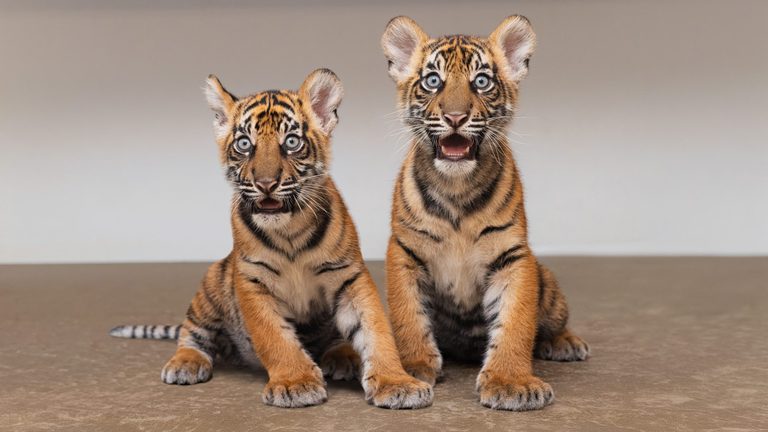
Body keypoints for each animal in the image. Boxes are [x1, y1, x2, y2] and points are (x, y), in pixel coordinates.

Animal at [110, 69, 433, 409]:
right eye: (244, 144)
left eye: (291, 142)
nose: (265, 184)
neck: (290, 230)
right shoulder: (252, 281)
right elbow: (276, 337)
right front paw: (296, 383)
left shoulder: (349, 276)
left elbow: (375, 331)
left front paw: (397, 383)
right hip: (211, 284)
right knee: (192, 333)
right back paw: (185, 363)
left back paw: (343, 356)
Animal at [380, 16, 590, 411]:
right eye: (433, 81)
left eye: (481, 81)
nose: (455, 117)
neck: (456, 188)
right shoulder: (404, 250)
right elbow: (408, 315)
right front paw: (413, 366)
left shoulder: (513, 255)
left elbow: (516, 322)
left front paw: (511, 383)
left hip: (548, 285)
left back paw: (565, 343)